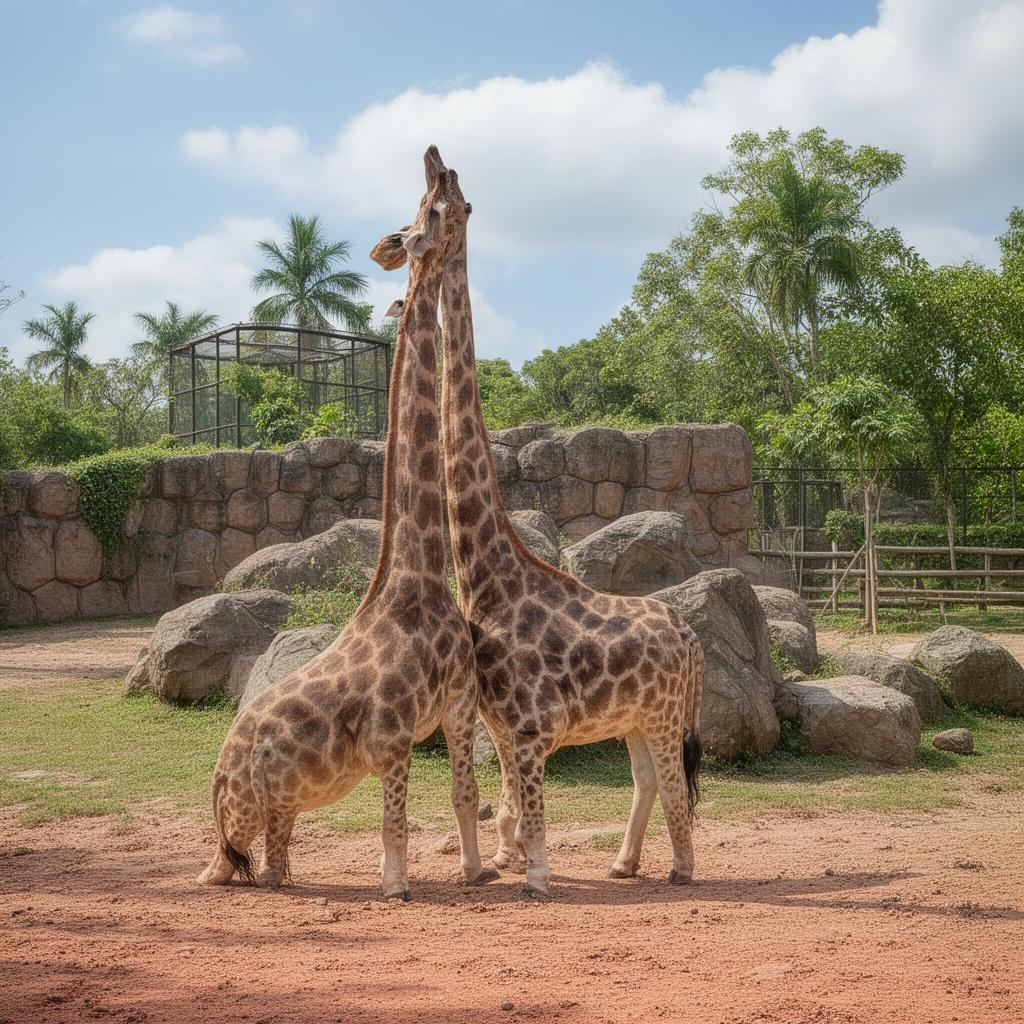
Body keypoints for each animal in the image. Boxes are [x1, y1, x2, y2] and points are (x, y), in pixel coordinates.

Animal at [196, 147, 498, 899]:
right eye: (441, 207)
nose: (436, 157)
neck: (420, 577)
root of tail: (215, 783)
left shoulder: (457, 705)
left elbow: (463, 793)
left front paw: (476, 872)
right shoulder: (391, 737)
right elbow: (396, 820)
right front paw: (396, 885)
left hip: (280, 808)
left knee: (277, 864)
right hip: (240, 821)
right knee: (234, 869)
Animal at [436, 149, 704, 897]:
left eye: (451, 205)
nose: (437, 163)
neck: (489, 579)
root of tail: (690, 635)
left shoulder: (529, 729)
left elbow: (527, 813)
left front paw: (531, 879)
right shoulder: (501, 726)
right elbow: (509, 808)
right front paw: (504, 864)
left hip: (665, 713)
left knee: (675, 783)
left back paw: (681, 868)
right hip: (637, 717)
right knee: (648, 780)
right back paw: (624, 862)